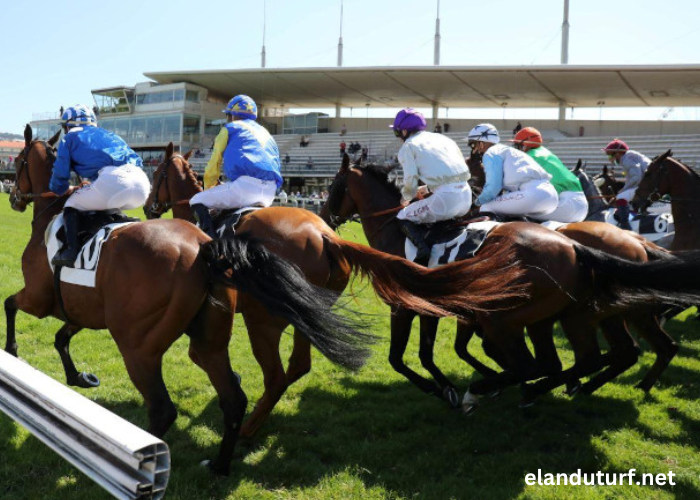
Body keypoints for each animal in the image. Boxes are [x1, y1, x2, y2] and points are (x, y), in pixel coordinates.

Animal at [4, 126, 524, 472]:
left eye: (17, 164)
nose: (149, 207)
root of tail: (324, 234)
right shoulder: (92, 305)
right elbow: (65, 328)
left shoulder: (53, 296)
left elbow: (14, 305)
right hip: (301, 313)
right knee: (295, 367)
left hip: (258, 316)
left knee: (270, 374)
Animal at [326, 154, 696, 412]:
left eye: (332, 187)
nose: (328, 217)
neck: (397, 232)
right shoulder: (441, 309)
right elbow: (436, 353)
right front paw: (458, 386)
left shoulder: (407, 308)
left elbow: (402, 359)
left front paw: (452, 388)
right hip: (579, 315)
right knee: (613, 353)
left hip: (529, 317)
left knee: (614, 353)